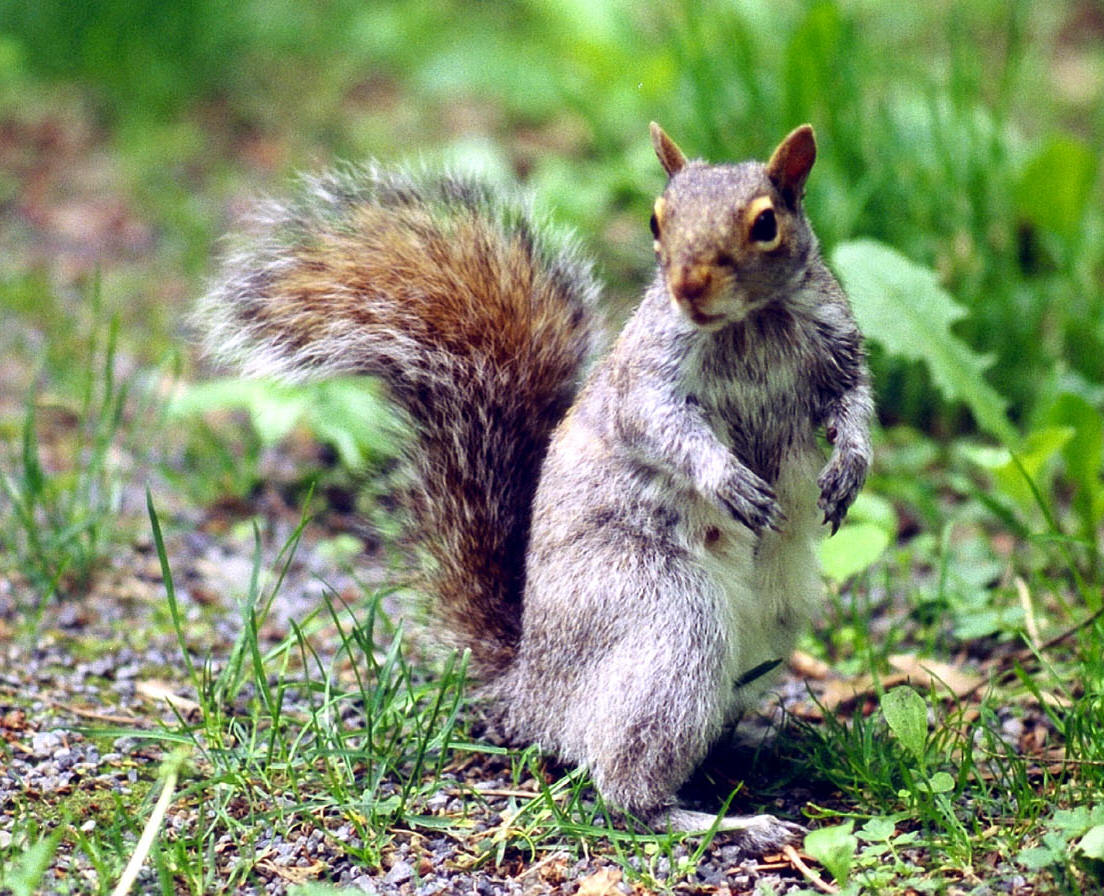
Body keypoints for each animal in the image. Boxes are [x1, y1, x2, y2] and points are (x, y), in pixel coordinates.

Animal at [196, 122, 869, 851]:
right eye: (656, 221)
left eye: (766, 224)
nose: (687, 287)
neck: (749, 322)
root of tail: (533, 695)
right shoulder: (648, 376)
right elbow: (659, 425)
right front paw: (729, 480)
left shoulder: (839, 344)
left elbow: (855, 403)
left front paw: (849, 468)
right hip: (665, 621)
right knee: (624, 786)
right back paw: (719, 821)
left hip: (766, 633)